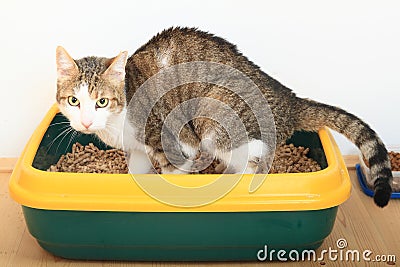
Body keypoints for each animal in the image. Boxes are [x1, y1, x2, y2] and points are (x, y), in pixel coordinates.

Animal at [54, 26, 392, 207]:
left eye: (101, 102)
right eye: (74, 101)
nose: (85, 121)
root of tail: (288, 98)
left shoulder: (177, 141)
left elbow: (176, 171)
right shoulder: (137, 149)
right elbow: (138, 169)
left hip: (215, 118)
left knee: (250, 160)